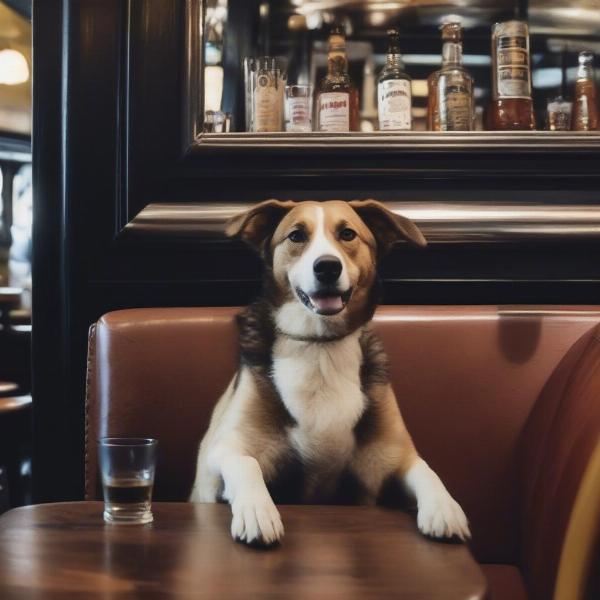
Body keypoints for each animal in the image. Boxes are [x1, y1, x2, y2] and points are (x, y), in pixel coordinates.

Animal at [190, 199, 472, 548]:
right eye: (296, 236)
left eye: (347, 234)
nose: (327, 267)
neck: (319, 344)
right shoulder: (219, 453)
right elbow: (245, 461)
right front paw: (258, 511)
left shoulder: (395, 455)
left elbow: (425, 469)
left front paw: (445, 508)